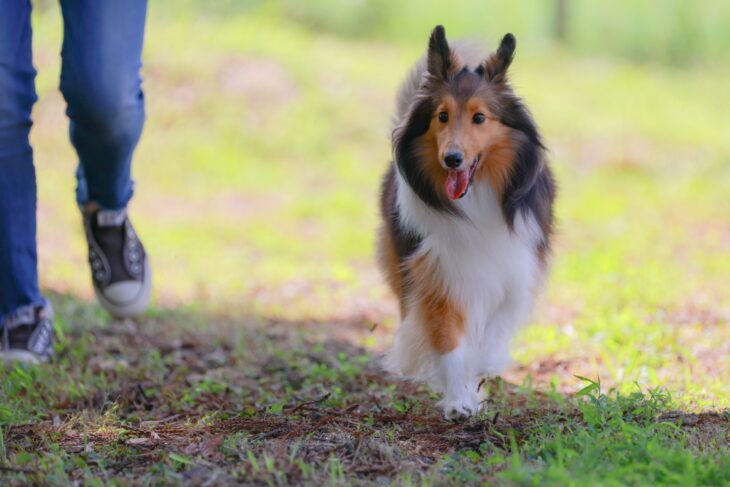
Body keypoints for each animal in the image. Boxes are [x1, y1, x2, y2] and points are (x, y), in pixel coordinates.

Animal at [376, 24, 552, 418]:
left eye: (479, 117)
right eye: (442, 116)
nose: (452, 159)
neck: (476, 198)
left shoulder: (514, 268)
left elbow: (494, 330)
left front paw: (484, 366)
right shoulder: (439, 272)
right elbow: (449, 340)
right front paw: (459, 399)